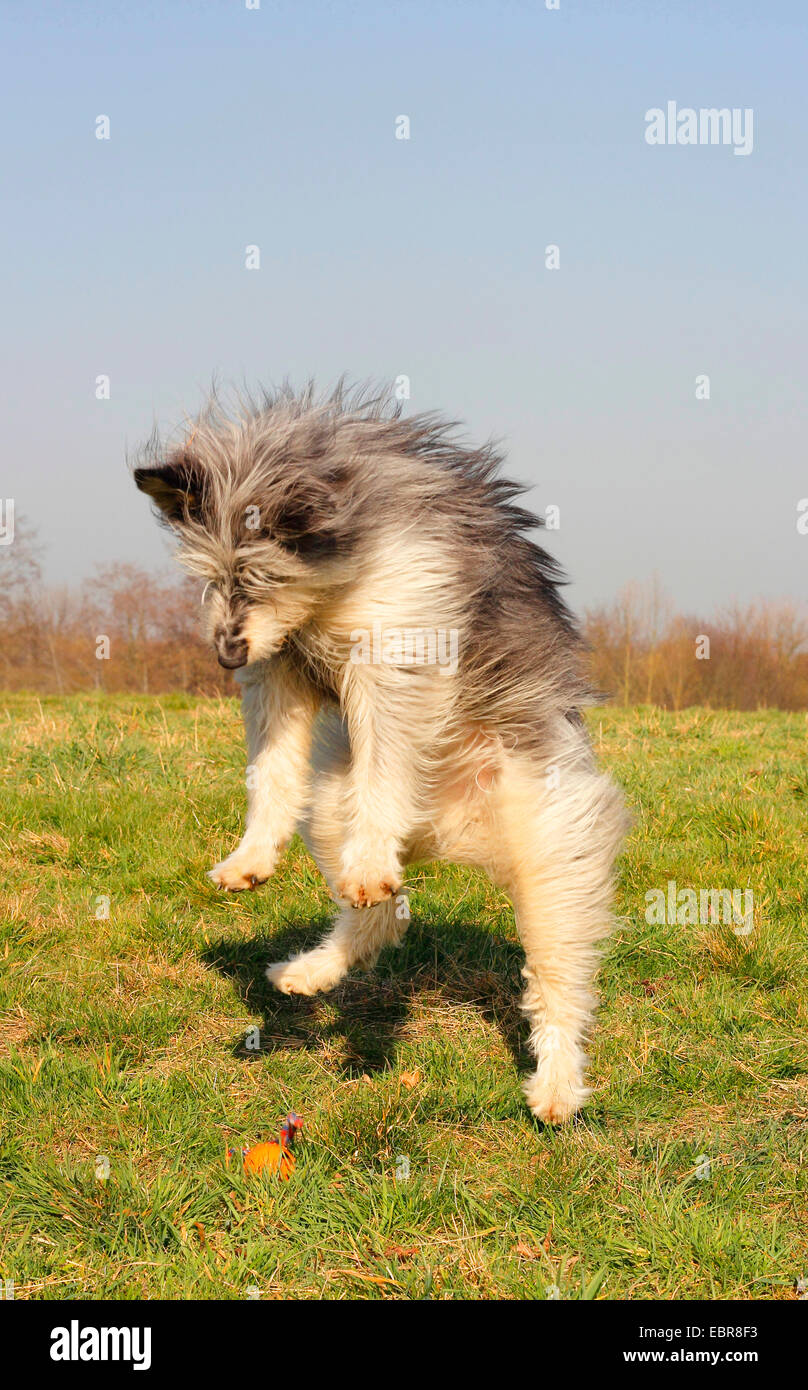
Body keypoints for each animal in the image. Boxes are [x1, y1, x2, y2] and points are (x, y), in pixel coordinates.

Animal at [132, 383, 625, 1117]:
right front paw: (251, 857)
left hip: (552, 868)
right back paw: (313, 965)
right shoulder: (278, 674)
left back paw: (557, 1088)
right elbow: (270, 773)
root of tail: (444, 832)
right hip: (331, 808)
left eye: (261, 575)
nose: (223, 656)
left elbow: (387, 758)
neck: (338, 576)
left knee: (557, 986)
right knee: (379, 915)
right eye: (213, 575)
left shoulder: (396, 659)